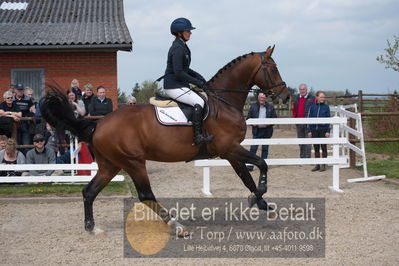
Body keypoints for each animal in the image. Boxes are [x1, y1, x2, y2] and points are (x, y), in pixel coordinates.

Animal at [41, 45, 290, 233]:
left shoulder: (230, 152)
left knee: (89, 191)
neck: (224, 101)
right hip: (133, 162)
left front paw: (261, 202)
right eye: (274, 68)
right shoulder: (229, 148)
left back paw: (92, 227)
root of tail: (98, 124)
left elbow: (246, 177)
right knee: (145, 195)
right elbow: (262, 164)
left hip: (110, 165)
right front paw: (259, 195)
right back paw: (176, 225)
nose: (285, 96)